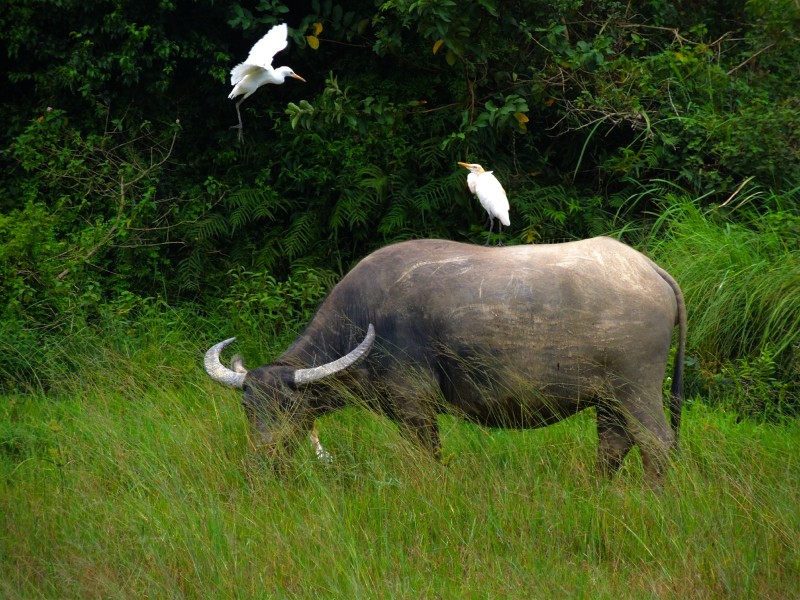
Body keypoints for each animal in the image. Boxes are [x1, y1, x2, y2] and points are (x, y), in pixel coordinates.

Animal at [206, 237, 688, 486]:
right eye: (248, 408)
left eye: (291, 406)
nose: (260, 461)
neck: (366, 317)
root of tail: (650, 269)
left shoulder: (414, 403)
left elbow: (427, 453)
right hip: (609, 399)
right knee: (613, 443)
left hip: (637, 388)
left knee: (656, 441)